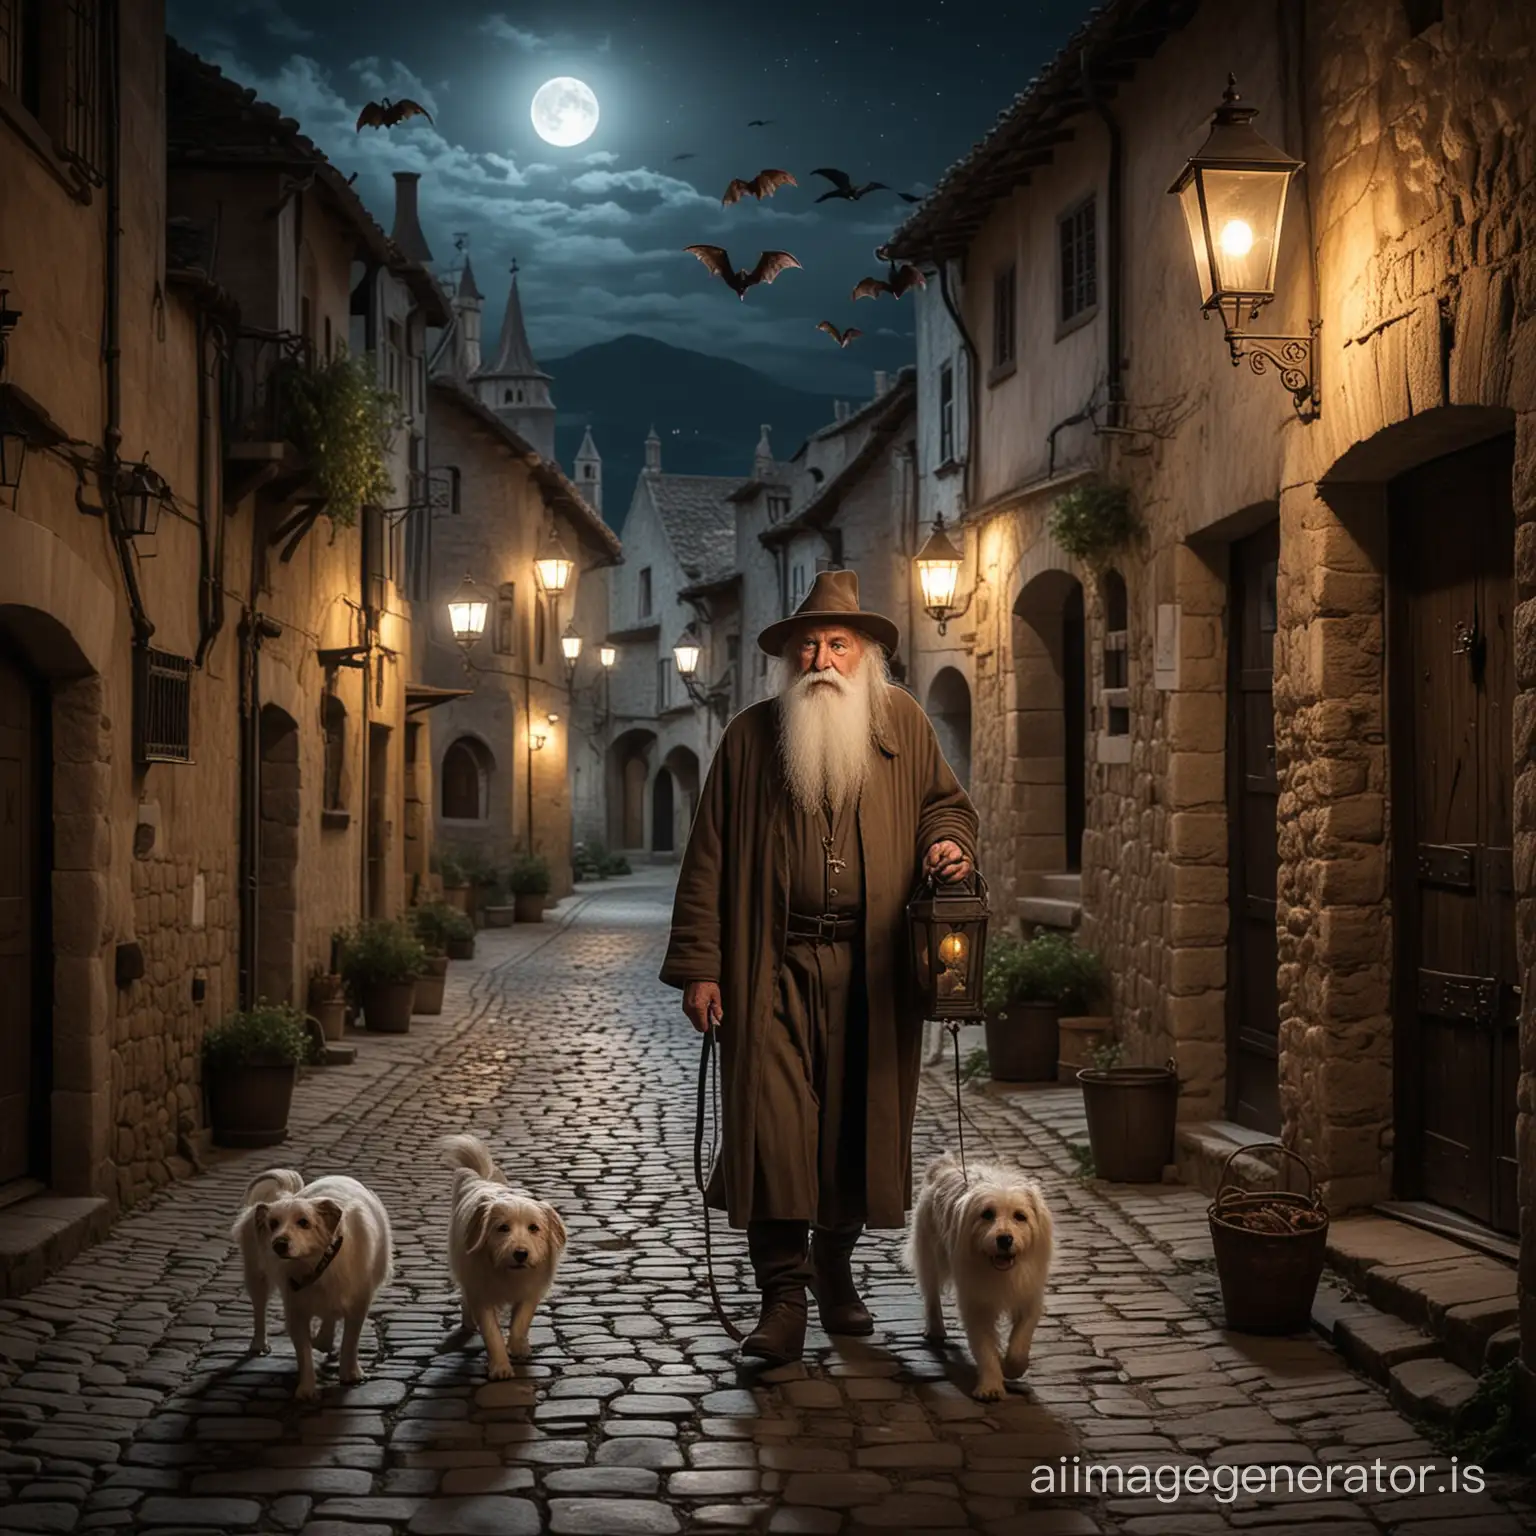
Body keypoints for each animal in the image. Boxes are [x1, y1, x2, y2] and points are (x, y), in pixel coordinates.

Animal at [231, 1161, 393, 1406]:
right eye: (273, 1224)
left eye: (304, 1222)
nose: (279, 1244)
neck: (317, 1265)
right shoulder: (295, 1308)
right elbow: (304, 1352)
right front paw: (307, 1388)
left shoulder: (358, 1301)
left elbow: (350, 1340)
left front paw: (350, 1373)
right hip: (256, 1275)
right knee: (259, 1310)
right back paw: (259, 1344)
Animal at [442, 1130, 568, 1382]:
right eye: (502, 1228)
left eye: (534, 1228)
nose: (520, 1254)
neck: (507, 1273)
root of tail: (481, 1180)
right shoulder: (481, 1293)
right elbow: (491, 1332)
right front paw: (500, 1365)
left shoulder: (531, 1290)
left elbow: (521, 1321)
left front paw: (518, 1346)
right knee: (465, 1297)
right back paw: (468, 1322)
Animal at [897, 1155, 1056, 1400]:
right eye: (987, 1214)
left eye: (1020, 1216)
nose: (1004, 1239)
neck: (999, 1269)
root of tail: (945, 1165)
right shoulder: (976, 1303)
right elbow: (984, 1347)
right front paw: (990, 1385)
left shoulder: (1028, 1297)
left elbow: (1020, 1342)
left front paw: (1010, 1367)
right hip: (930, 1257)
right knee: (931, 1295)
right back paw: (936, 1329)